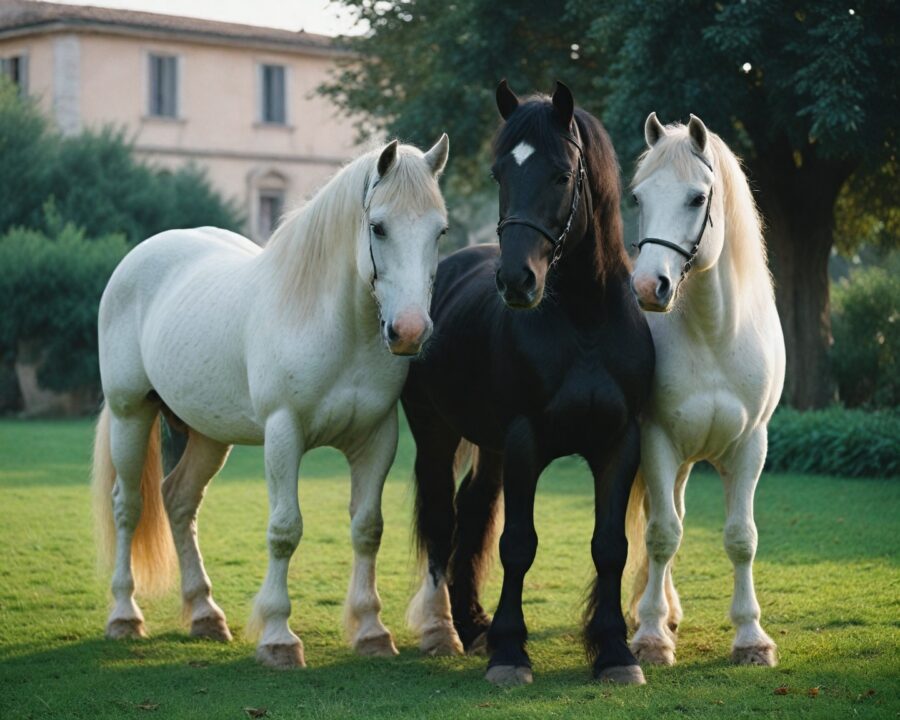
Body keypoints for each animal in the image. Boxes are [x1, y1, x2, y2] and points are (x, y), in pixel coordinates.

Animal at [91, 135, 450, 669]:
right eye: (378, 227)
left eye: (439, 231)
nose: (408, 332)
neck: (335, 326)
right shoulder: (284, 434)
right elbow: (285, 530)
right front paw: (279, 637)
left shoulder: (376, 438)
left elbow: (368, 529)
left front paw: (371, 631)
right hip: (130, 414)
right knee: (128, 507)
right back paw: (124, 615)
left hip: (208, 435)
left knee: (179, 501)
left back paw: (204, 614)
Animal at [400, 81, 655, 686]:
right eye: (499, 175)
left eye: (562, 175)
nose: (517, 280)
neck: (585, 321)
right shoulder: (523, 440)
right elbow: (518, 544)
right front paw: (512, 652)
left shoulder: (620, 442)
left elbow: (610, 545)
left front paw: (615, 650)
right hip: (435, 432)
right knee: (443, 520)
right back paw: (447, 630)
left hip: (489, 447)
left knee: (471, 515)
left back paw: (472, 622)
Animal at [626, 113, 785, 667]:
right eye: (638, 197)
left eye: (698, 198)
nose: (648, 288)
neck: (715, 333)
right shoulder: (655, 440)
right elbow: (662, 534)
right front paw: (651, 637)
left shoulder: (750, 446)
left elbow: (742, 538)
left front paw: (752, 638)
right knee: (662, 519)